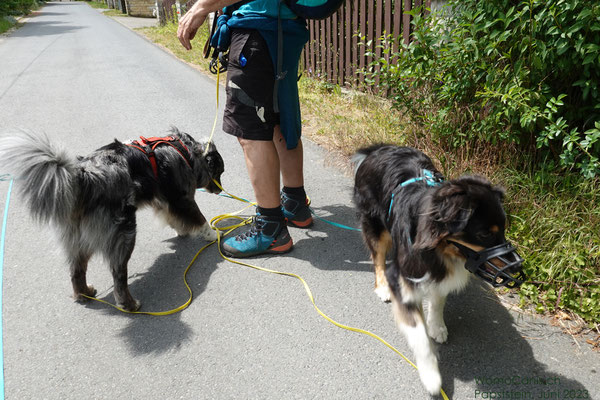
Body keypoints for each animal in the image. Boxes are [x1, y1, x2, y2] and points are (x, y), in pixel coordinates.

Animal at [0, 128, 225, 312]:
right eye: (219, 172)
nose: (221, 190)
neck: (185, 150)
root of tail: (84, 177)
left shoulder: (165, 200)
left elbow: (174, 218)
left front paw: (182, 231)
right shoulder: (181, 197)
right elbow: (199, 218)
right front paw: (213, 234)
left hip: (76, 238)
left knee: (76, 270)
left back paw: (84, 294)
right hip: (124, 232)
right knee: (118, 275)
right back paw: (129, 304)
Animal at [354, 144, 524, 394]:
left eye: (503, 230)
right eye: (485, 234)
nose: (517, 268)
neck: (440, 250)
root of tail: (378, 148)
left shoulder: (440, 273)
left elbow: (438, 299)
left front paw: (437, 325)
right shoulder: (402, 276)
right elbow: (419, 335)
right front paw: (431, 375)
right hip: (375, 223)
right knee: (377, 257)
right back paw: (382, 287)